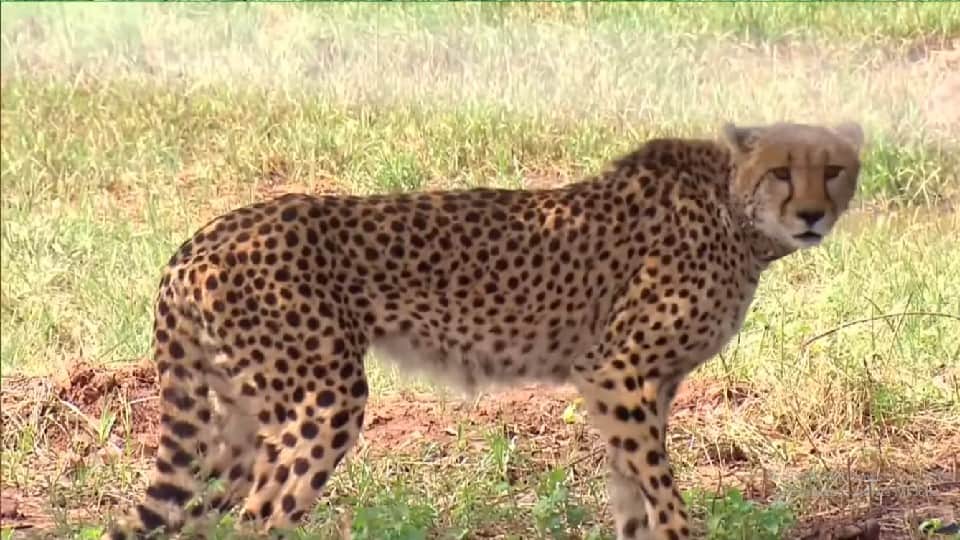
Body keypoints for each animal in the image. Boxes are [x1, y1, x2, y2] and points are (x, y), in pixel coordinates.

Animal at [103, 120, 864, 540]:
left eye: (833, 171)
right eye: (780, 172)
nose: (811, 216)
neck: (735, 214)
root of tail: (200, 238)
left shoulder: (638, 388)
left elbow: (632, 495)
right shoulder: (616, 372)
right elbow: (662, 497)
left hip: (238, 417)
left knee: (206, 512)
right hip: (321, 401)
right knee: (261, 517)